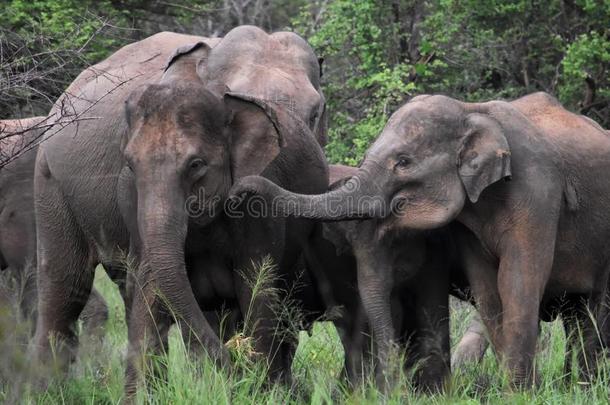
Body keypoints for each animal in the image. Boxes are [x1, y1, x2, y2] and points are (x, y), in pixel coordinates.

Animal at [32, 26, 328, 394]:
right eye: (235, 93)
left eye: (316, 113)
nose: (236, 363)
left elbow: (257, 284)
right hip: (50, 183)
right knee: (65, 285)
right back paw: (43, 393)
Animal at [229, 90, 610, 386]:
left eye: (403, 162)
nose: (235, 193)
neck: (469, 110)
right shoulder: (465, 223)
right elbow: (487, 290)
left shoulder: (538, 190)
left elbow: (517, 280)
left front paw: (518, 392)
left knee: (595, 311)